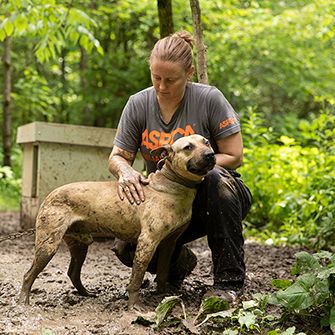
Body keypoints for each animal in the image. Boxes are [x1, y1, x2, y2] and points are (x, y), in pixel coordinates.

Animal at [19, 135, 218, 308]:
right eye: (188, 147)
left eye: (206, 142)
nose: (210, 154)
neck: (171, 186)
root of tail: (49, 196)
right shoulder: (147, 242)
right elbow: (136, 278)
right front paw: (134, 306)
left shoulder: (169, 243)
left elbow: (162, 272)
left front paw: (163, 294)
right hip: (48, 245)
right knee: (28, 275)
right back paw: (24, 301)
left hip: (80, 245)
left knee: (73, 273)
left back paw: (86, 294)